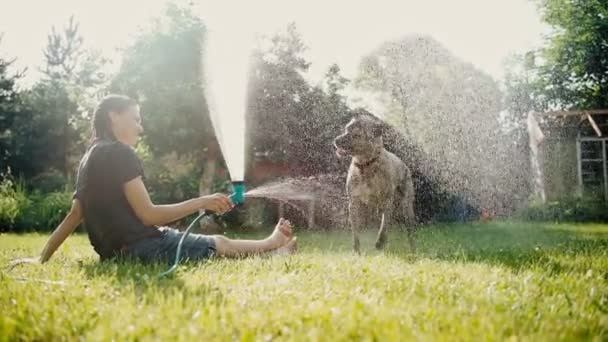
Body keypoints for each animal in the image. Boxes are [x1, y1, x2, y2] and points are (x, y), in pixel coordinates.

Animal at [334, 115, 416, 251]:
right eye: (346, 129)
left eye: (356, 134)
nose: (336, 140)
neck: (366, 165)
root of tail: (404, 165)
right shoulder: (354, 203)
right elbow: (355, 231)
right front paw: (356, 250)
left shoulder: (387, 201)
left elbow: (384, 225)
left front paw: (379, 242)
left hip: (406, 208)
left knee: (408, 230)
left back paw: (411, 248)